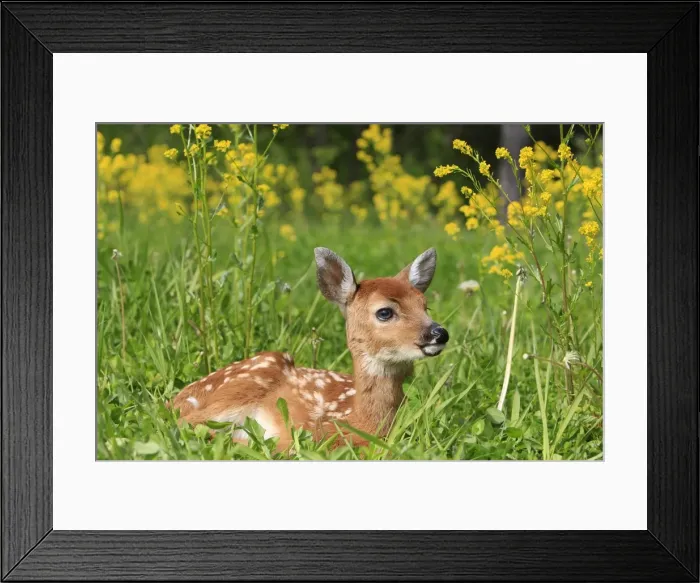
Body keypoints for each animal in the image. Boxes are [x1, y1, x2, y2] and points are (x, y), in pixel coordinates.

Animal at [169, 247, 449, 449]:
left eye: (424, 306)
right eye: (384, 312)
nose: (439, 333)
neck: (359, 421)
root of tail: (178, 398)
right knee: (185, 423)